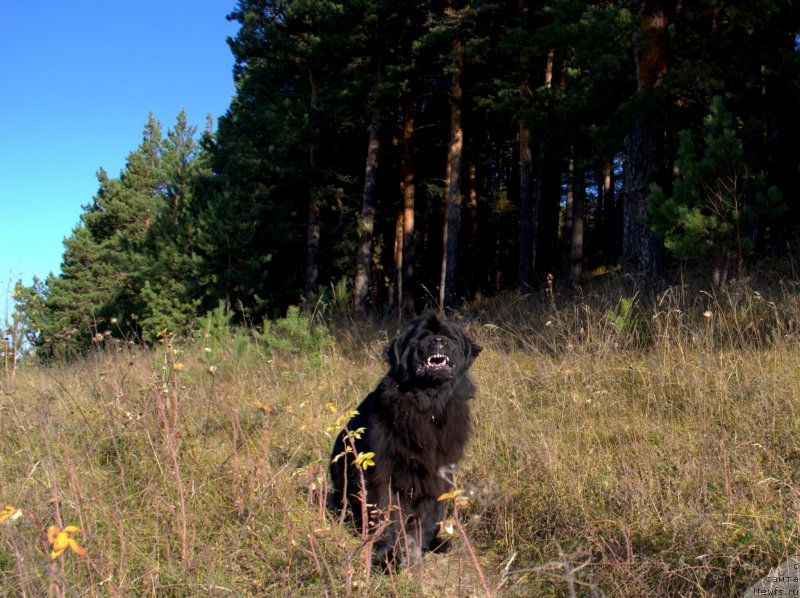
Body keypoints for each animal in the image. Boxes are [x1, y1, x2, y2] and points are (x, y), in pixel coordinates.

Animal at [326, 312, 478, 568]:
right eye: (419, 338)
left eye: (450, 338)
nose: (437, 340)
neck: (429, 405)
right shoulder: (382, 474)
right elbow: (388, 515)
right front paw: (387, 557)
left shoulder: (436, 476)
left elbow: (427, 518)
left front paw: (416, 552)